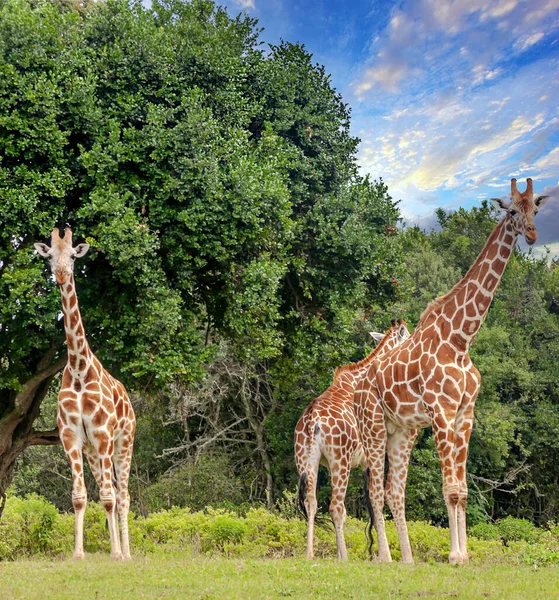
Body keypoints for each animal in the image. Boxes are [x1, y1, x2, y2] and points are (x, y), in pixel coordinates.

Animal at [34, 227, 136, 560]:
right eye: (50, 255)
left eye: (73, 256)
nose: (61, 274)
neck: (79, 371)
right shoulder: (71, 436)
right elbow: (80, 496)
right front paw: (78, 554)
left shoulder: (104, 433)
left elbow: (108, 497)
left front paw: (116, 554)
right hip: (93, 450)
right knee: (110, 489)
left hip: (123, 442)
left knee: (121, 493)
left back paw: (126, 554)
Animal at [294, 322, 412, 560]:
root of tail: (312, 421)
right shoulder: (367, 457)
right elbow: (373, 503)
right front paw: (383, 556)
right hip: (340, 460)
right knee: (336, 506)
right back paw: (345, 558)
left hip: (305, 459)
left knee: (312, 502)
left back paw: (310, 555)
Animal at [356, 180, 548, 564]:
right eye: (511, 211)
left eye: (535, 208)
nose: (533, 234)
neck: (461, 337)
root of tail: (361, 383)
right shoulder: (441, 412)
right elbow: (451, 490)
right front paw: (456, 556)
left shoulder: (465, 413)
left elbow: (462, 489)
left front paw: (464, 554)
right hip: (373, 428)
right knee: (374, 489)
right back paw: (385, 557)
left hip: (400, 432)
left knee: (392, 491)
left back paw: (405, 559)